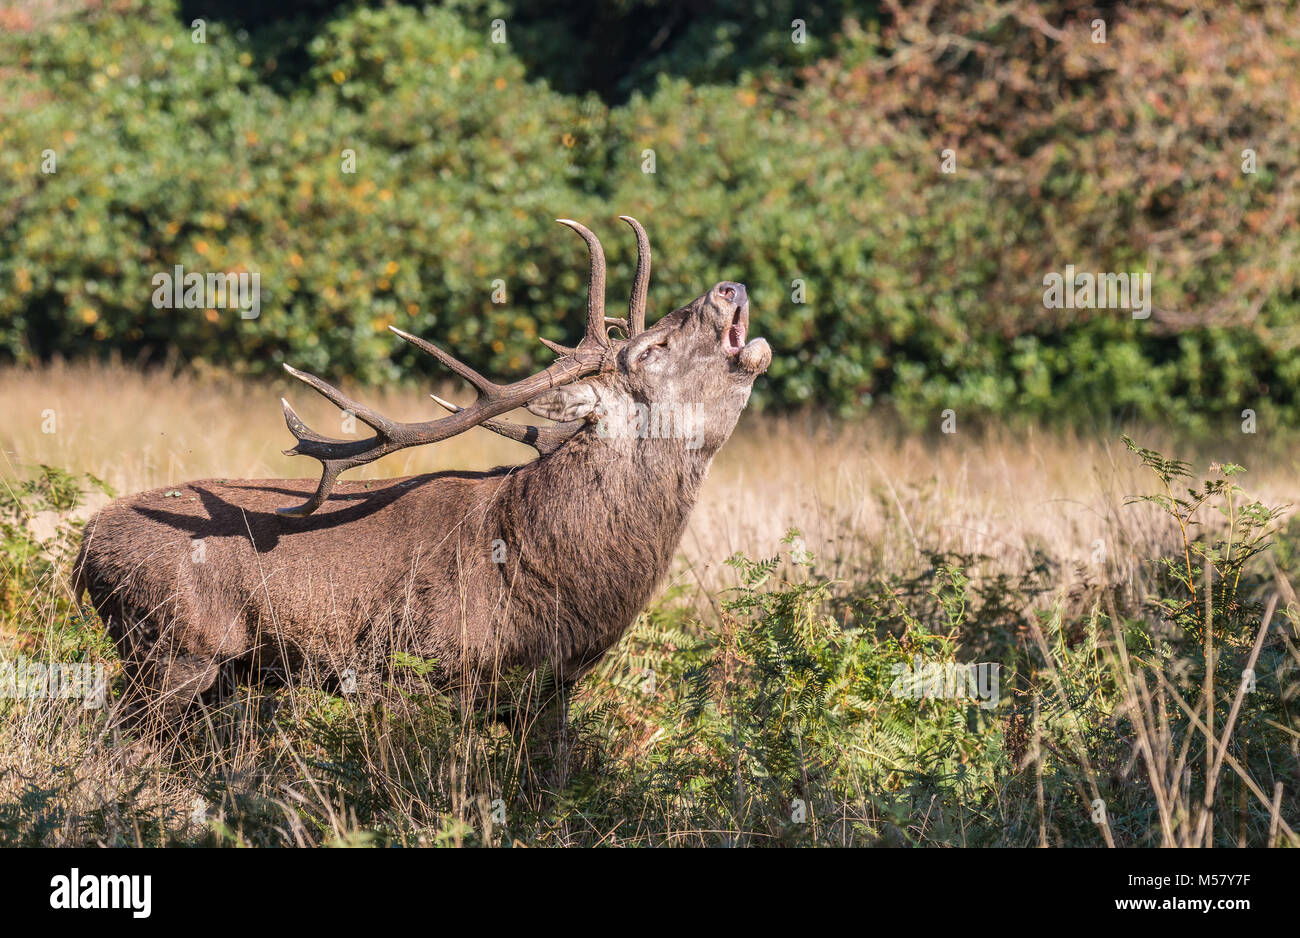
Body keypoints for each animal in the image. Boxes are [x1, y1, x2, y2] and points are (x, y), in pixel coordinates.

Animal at [73, 216, 771, 720]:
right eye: (651, 349)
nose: (728, 288)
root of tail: (82, 551)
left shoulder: (551, 692)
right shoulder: (416, 665)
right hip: (174, 649)